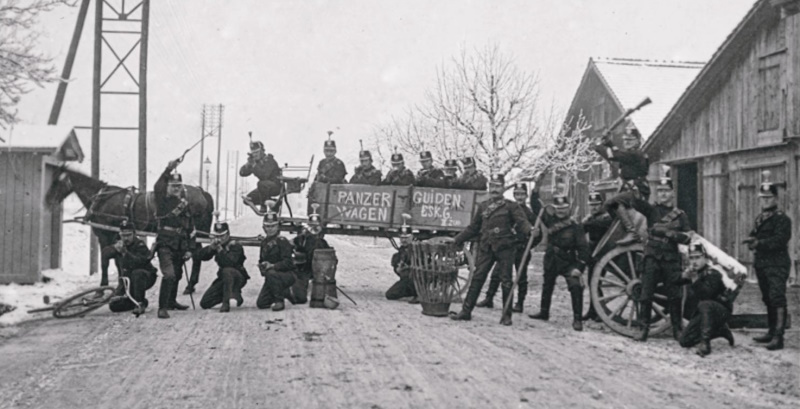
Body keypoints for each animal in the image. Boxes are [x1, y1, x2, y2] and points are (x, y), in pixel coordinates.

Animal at [44, 166, 215, 292]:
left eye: (56, 180)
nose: (47, 200)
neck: (102, 199)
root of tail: (202, 192)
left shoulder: (106, 236)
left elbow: (107, 261)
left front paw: (104, 287)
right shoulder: (117, 237)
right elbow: (118, 260)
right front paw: (121, 284)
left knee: (197, 256)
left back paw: (190, 285)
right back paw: (190, 285)